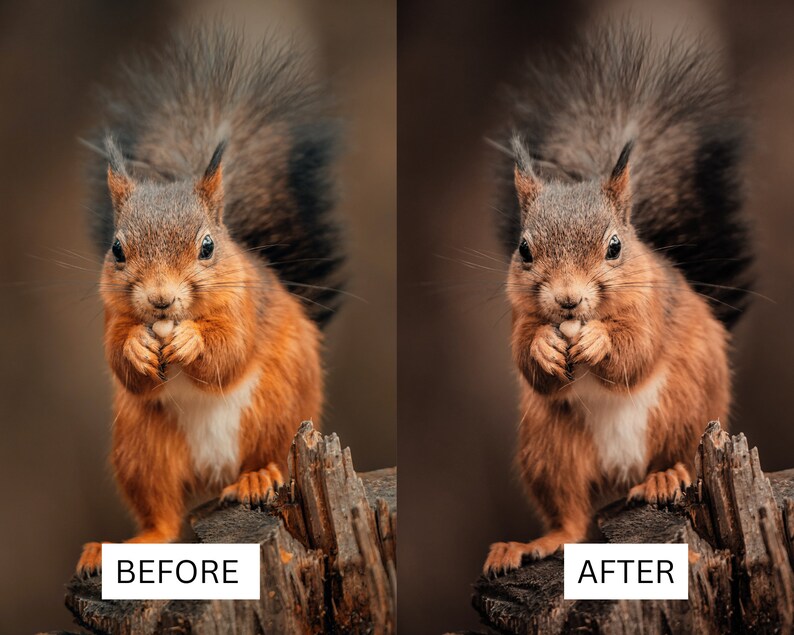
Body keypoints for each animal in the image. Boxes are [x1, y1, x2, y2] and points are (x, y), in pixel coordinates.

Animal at [76, 26, 343, 575]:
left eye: (207, 247)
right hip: (141, 446)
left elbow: (230, 351)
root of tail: (214, 473)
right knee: (162, 515)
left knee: (267, 456)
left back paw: (256, 478)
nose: (160, 300)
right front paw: (137, 348)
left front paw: (192, 344)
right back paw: (128, 544)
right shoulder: (113, 315)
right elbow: (119, 360)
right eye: (117, 249)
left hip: (277, 409)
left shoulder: (246, 309)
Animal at [483, 23, 753, 575]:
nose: (568, 300)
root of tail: (619, 474)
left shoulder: (653, 309)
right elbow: (526, 360)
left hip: (684, 409)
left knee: (676, 458)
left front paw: (599, 343)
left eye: (614, 247)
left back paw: (664, 478)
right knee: (570, 517)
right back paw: (533, 543)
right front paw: (545, 347)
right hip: (549, 445)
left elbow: (637, 351)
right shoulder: (520, 317)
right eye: (524, 249)